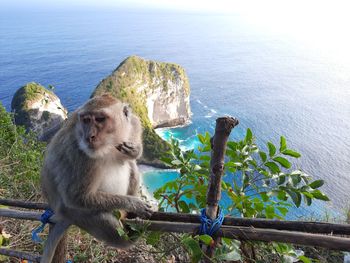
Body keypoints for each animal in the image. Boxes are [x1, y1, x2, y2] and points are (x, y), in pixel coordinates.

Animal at [39, 95, 152, 263]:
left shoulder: (134, 123)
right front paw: (135, 204)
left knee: (131, 166)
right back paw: (131, 237)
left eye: (100, 119)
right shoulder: (81, 154)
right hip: (74, 214)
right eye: (86, 120)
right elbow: (77, 197)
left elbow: (133, 154)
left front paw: (135, 150)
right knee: (99, 216)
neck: (111, 144)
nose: (89, 136)